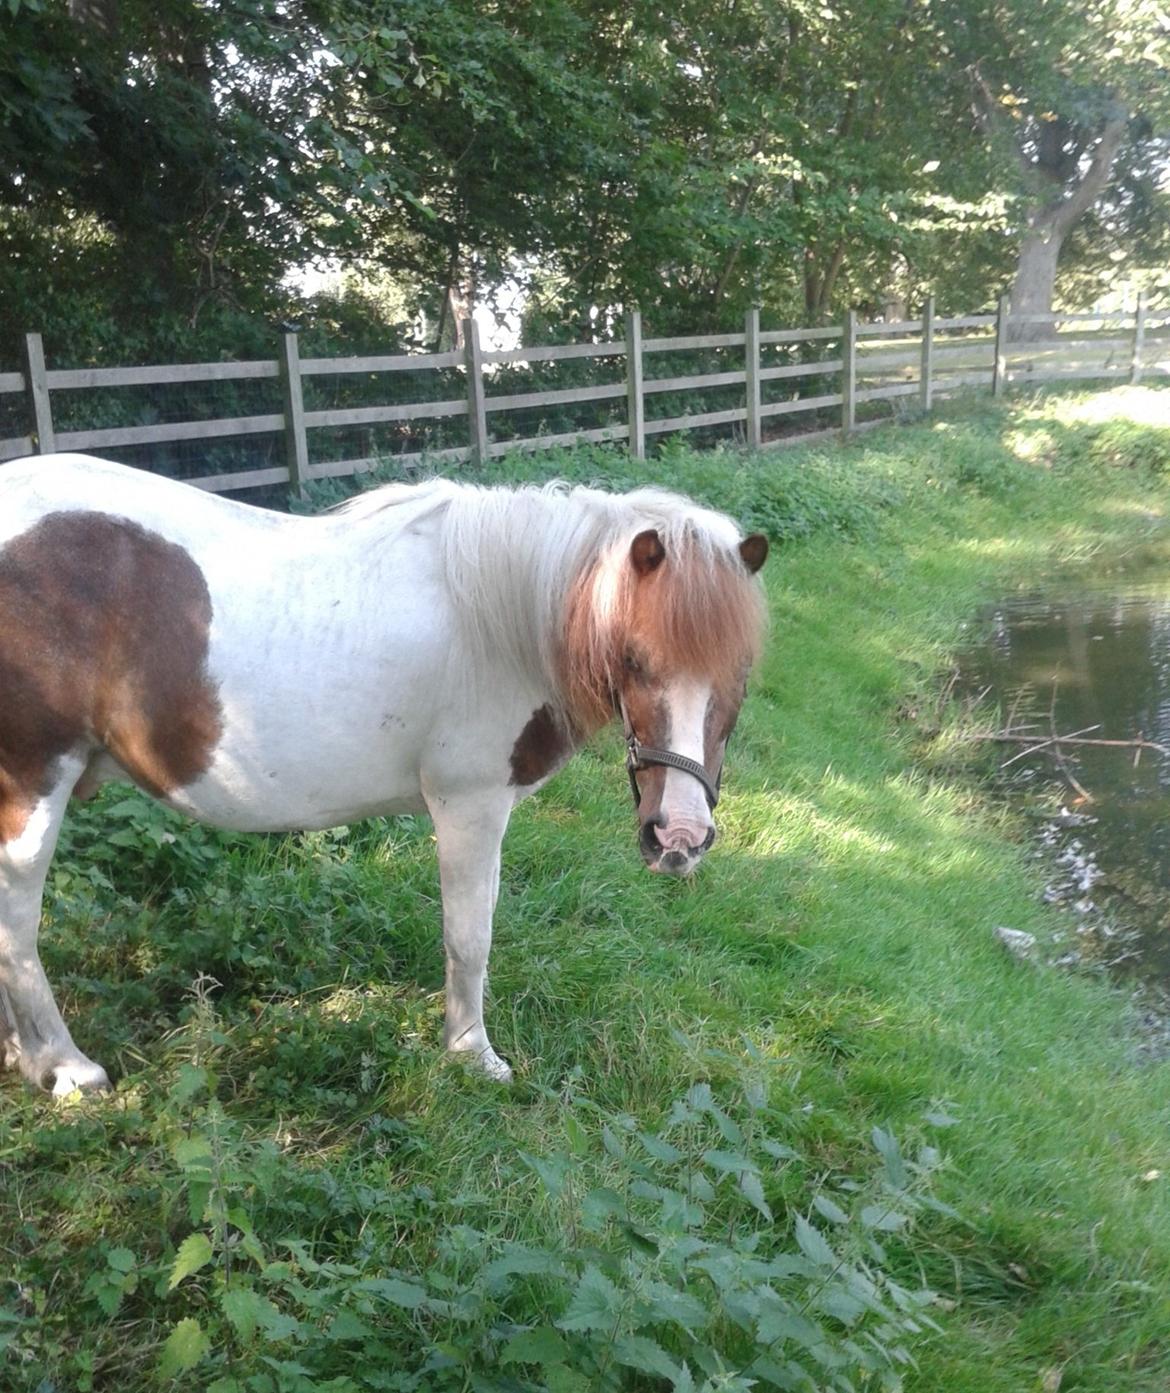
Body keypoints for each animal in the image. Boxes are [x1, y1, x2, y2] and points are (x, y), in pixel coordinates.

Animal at [0, 451, 768, 1092]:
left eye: (742, 671)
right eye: (633, 658)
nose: (679, 838)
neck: (501, 622)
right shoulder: (469, 805)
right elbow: (470, 936)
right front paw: (471, 1054)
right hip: (30, 791)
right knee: (17, 928)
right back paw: (63, 1067)